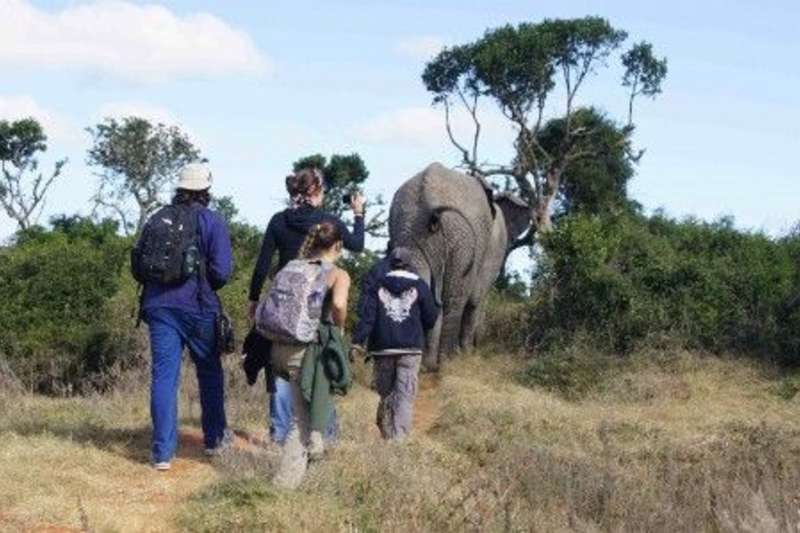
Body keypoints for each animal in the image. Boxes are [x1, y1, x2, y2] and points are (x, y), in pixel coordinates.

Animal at [389, 162, 531, 370]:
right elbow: (475, 300)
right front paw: (468, 352)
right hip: (461, 239)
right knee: (456, 298)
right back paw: (445, 363)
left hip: (408, 229)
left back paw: (426, 365)